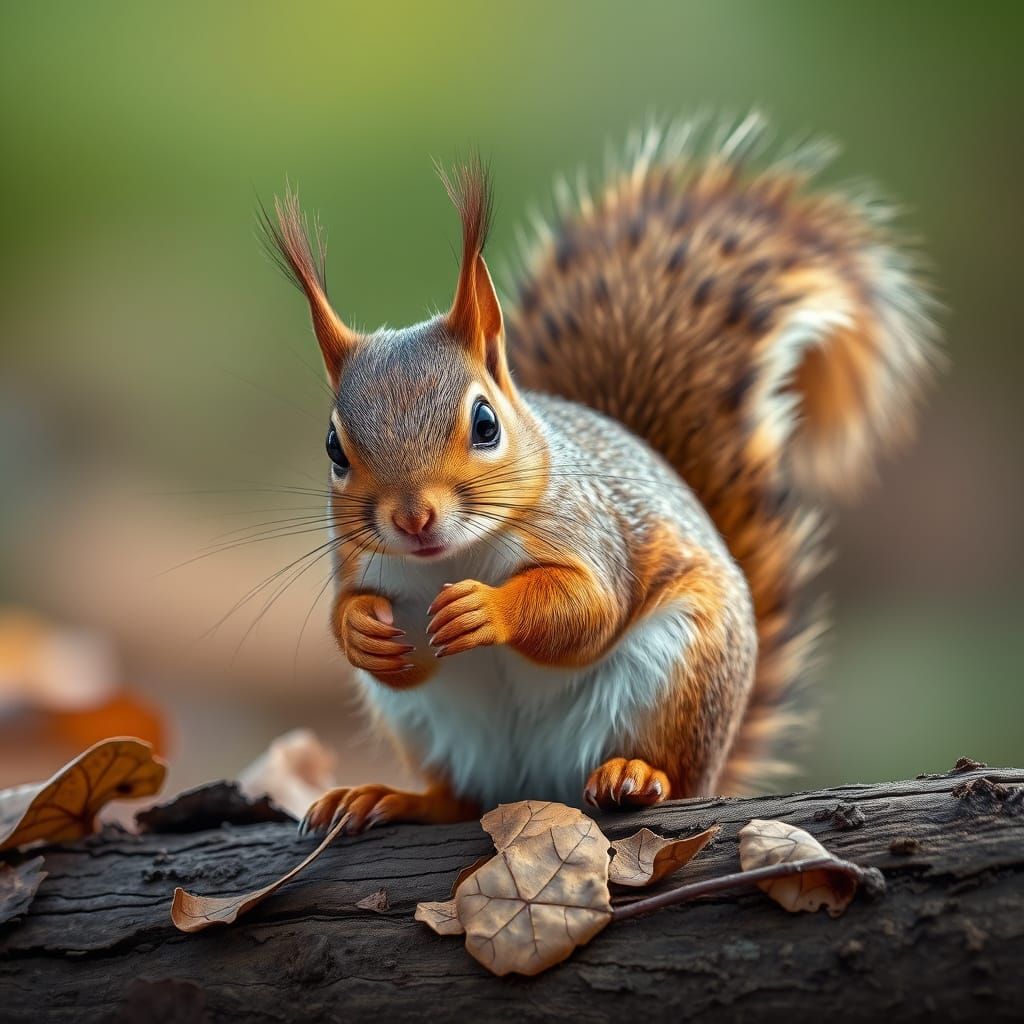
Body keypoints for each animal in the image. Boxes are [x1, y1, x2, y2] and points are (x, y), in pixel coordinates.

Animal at [258, 115, 938, 836]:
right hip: (431, 727)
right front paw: (362, 631)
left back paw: (636, 776)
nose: (413, 519)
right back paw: (393, 798)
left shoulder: (589, 533)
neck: (452, 557)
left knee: (670, 771)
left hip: (674, 672)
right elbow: (351, 619)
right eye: (334, 448)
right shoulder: (360, 563)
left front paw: (486, 608)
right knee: (459, 796)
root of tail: (528, 783)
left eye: (485, 423)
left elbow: (587, 608)